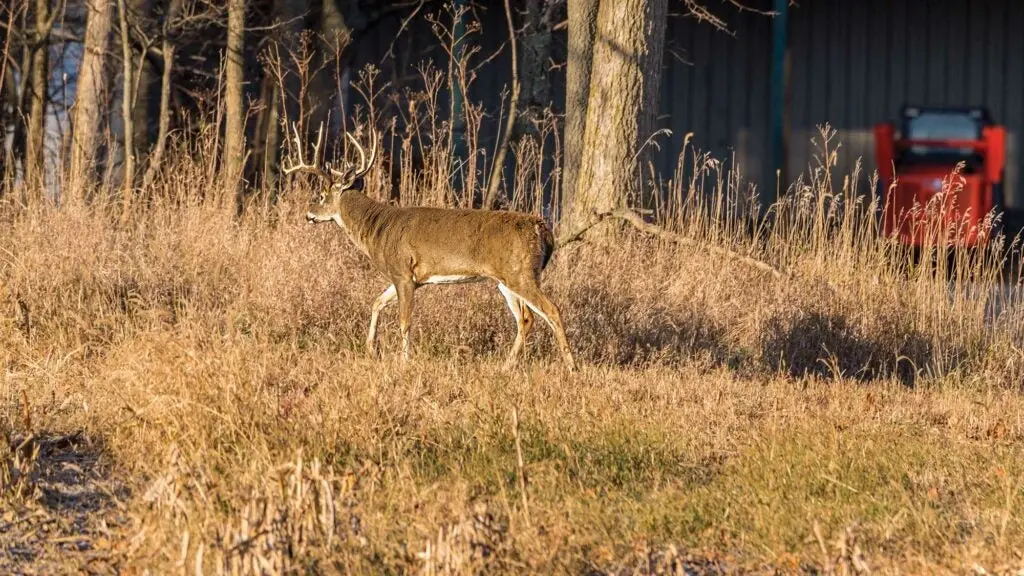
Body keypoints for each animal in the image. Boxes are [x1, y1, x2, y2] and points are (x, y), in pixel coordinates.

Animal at [284, 123, 581, 368]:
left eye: (322, 195)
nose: (308, 214)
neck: (378, 229)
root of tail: (544, 230)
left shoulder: (403, 272)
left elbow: (404, 321)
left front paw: (403, 361)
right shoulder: (408, 278)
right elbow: (376, 303)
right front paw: (370, 349)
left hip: (521, 273)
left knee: (551, 310)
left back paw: (571, 367)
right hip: (506, 279)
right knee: (526, 319)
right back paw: (506, 366)